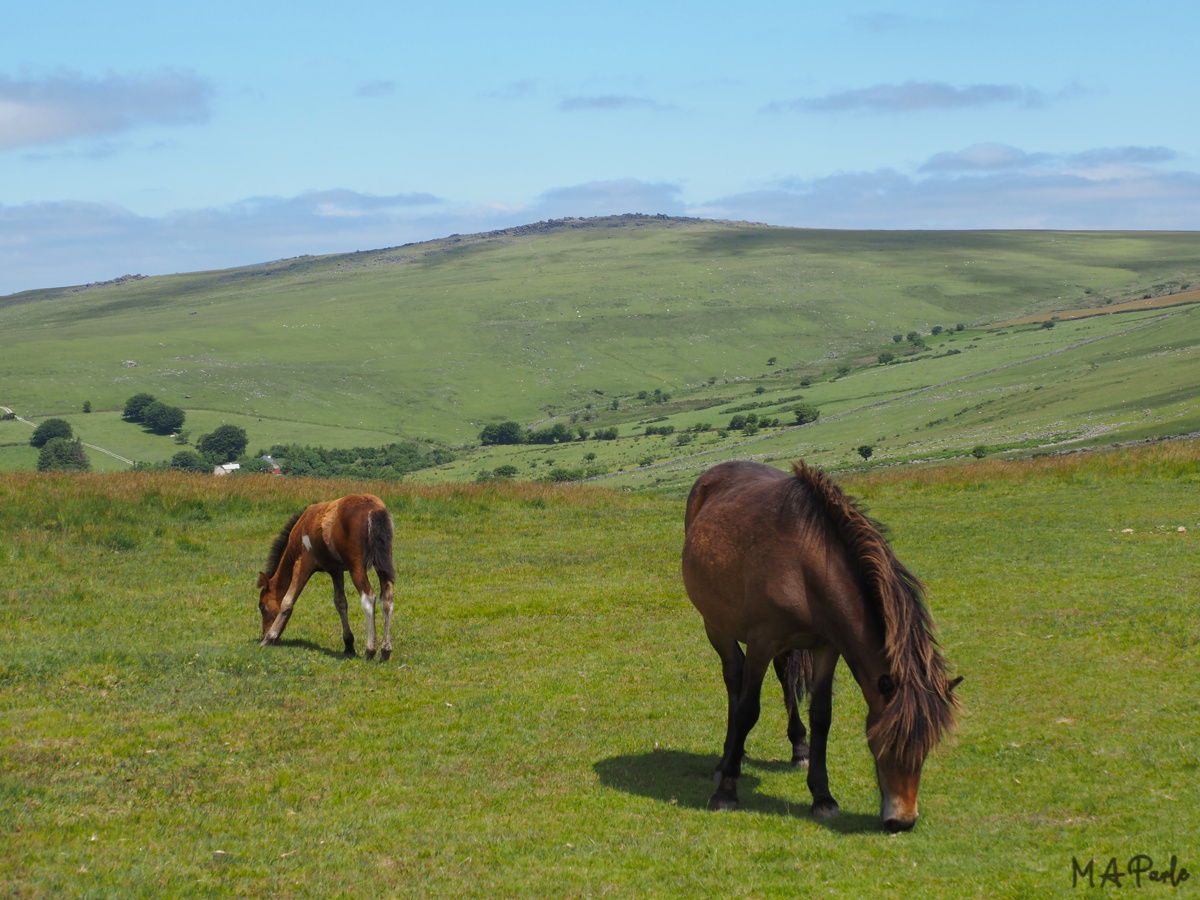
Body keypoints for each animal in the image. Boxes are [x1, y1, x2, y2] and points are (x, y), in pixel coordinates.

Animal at [259, 494, 398, 662]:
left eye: (262, 606)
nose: (263, 634)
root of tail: (373, 508)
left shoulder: (303, 563)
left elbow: (287, 601)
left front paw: (270, 638)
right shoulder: (335, 570)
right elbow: (340, 602)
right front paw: (349, 645)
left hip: (356, 567)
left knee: (368, 598)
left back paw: (370, 650)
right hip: (383, 564)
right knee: (387, 599)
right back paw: (385, 651)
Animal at [681, 460, 960, 835]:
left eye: (928, 747)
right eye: (885, 743)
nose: (902, 820)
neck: (805, 563)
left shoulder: (827, 647)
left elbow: (821, 715)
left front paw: (822, 797)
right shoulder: (761, 642)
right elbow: (748, 710)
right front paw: (726, 792)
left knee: (784, 677)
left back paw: (796, 748)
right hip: (715, 624)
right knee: (734, 677)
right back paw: (728, 760)